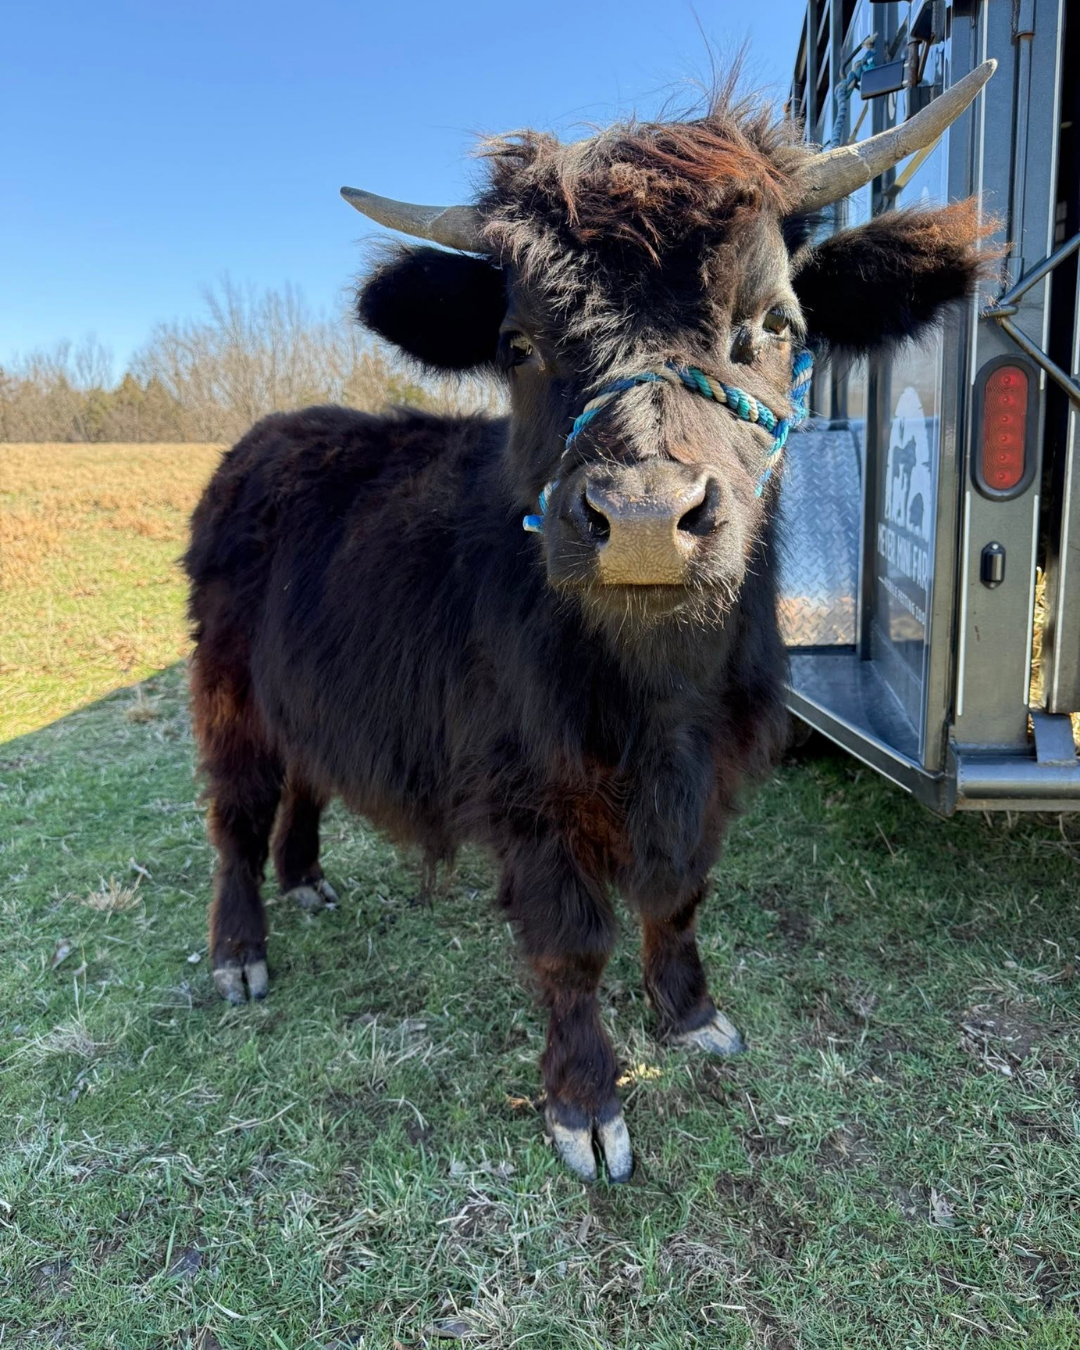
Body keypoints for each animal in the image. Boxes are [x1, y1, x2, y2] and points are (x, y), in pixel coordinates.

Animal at [185, 65, 996, 1182]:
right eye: (517, 343)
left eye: (773, 324)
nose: (646, 520)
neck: (666, 686)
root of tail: (269, 435)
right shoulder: (532, 790)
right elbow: (572, 944)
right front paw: (586, 1104)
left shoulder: (717, 767)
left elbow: (680, 891)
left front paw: (692, 1014)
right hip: (227, 689)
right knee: (234, 813)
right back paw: (240, 953)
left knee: (306, 776)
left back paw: (307, 880)